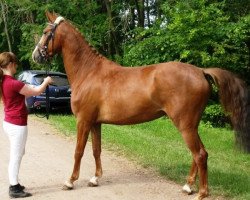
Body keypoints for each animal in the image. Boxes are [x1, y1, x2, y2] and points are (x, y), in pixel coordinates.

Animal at [32, 11, 249, 199]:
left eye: (45, 32)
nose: (35, 56)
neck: (89, 72)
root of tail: (200, 71)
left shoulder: (83, 121)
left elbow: (78, 151)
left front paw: (70, 181)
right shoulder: (95, 123)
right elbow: (96, 150)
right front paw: (95, 179)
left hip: (185, 125)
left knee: (200, 154)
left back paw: (202, 193)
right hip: (191, 125)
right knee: (196, 155)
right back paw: (188, 186)